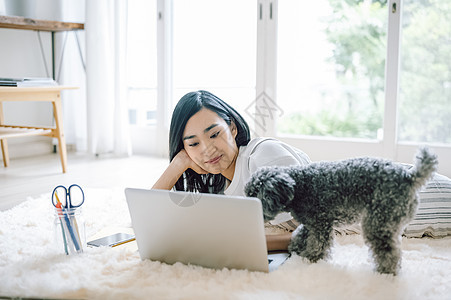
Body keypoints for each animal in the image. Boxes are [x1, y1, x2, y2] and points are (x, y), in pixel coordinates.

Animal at [245, 147, 440, 274]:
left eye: (255, 196)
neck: (299, 186)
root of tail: (409, 176)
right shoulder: (311, 222)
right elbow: (301, 234)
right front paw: (297, 249)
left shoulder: (320, 223)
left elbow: (317, 242)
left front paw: (310, 258)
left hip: (379, 222)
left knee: (389, 250)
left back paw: (385, 272)